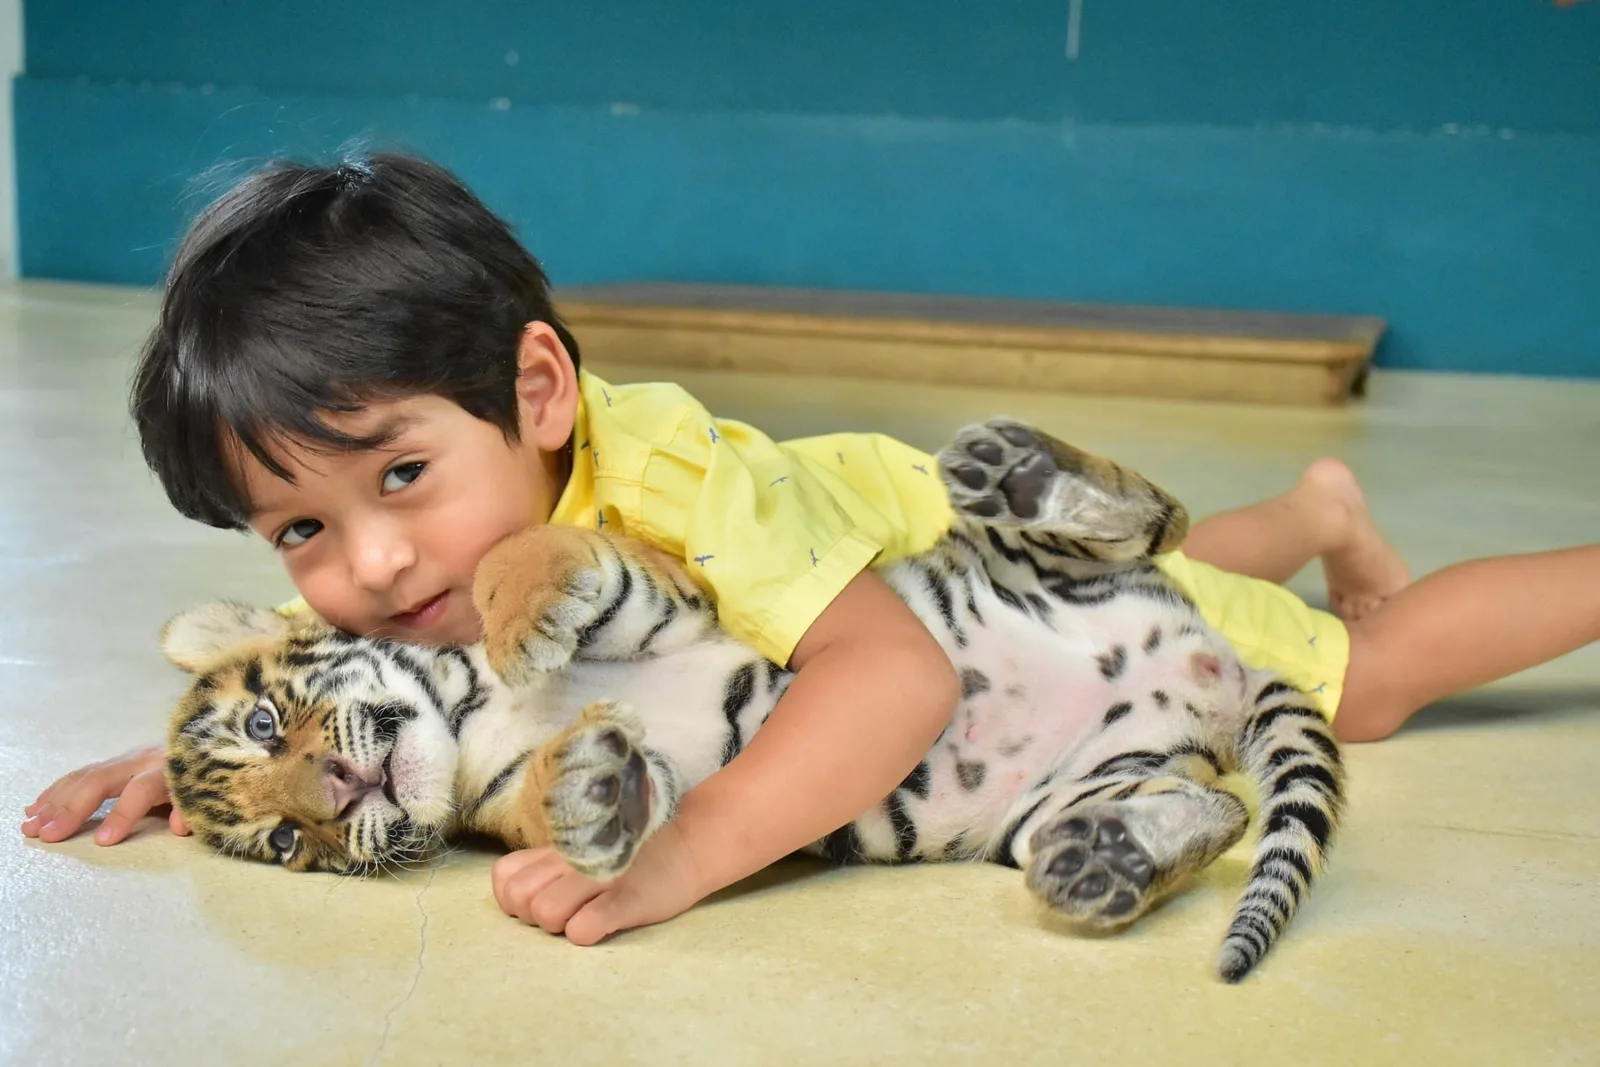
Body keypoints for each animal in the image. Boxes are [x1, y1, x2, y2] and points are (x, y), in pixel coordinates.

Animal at [160, 418, 1344, 983]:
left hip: (1036, 557)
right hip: (1072, 793)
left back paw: (1021, 471)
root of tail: (1212, 667)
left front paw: (526, 620)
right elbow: (564, 795)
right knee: (1218, 808)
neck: (467, 717)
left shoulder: (666, 593)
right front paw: (588, 792)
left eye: (267, 721)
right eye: (284, 842)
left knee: (1154, 512)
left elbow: (518, 549)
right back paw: (1109, 862)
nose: (333, 787)